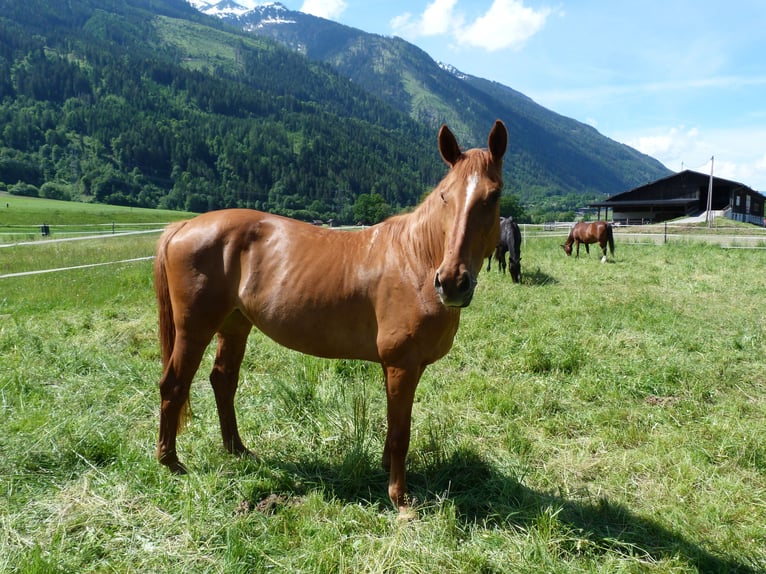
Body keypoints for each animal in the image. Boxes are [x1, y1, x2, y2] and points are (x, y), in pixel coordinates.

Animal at [154, 119, 510, 516]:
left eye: (493, 196)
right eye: (446, 196)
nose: (451, 282)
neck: (415, 260)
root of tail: (184, 226)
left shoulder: (407, 367)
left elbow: (394, 425)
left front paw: (385, 469)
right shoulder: (401, 364)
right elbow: (401, 431)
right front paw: (399, 498)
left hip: (234, 325)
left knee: (223, 381)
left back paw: (238, 450)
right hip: (195, 329)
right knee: (174, 384)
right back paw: (171, 462)